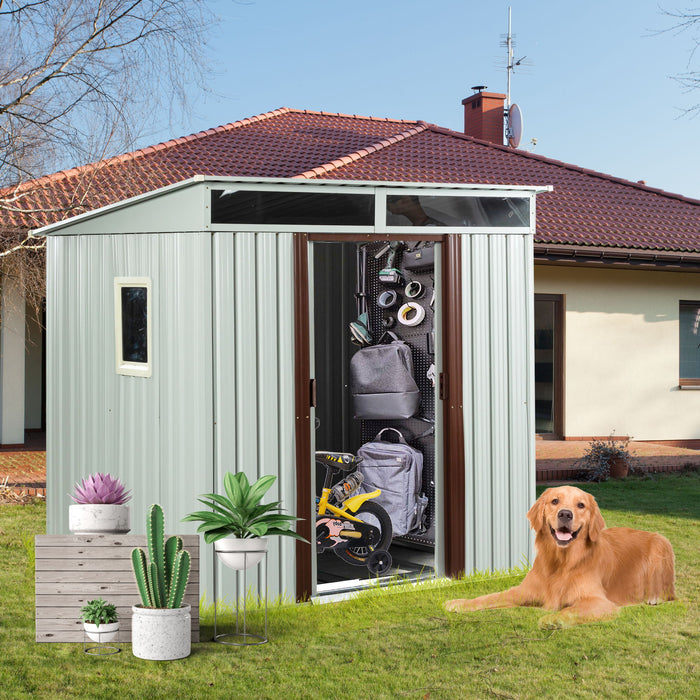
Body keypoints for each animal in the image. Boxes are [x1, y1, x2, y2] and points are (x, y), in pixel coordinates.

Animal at [446, 486, 676, 628]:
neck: (561, 562)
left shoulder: (601, 602)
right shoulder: (524, 590)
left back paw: (654, 598)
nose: (565, 514)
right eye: (554, 501)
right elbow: (490, 597)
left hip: (662, 543)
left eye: (581, 505)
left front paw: (552, 620)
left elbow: (570, 609)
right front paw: (458, 603)